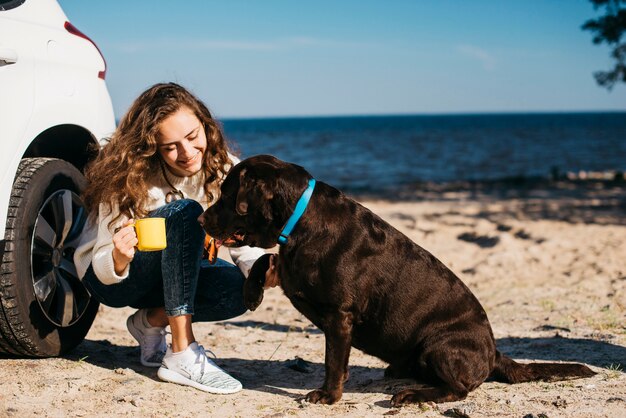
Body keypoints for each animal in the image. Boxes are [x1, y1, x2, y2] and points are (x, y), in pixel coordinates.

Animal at [197, 153, 592, 404]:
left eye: (228, 195)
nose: (201, 218)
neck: (298, 220)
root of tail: (494, 352)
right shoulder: (292, 269)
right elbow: (266, 259)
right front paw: (252, 294)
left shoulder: (339, 315)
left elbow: (333, 361)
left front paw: (328, 396)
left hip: (439, 345)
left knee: (459, 389)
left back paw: (413, 395)